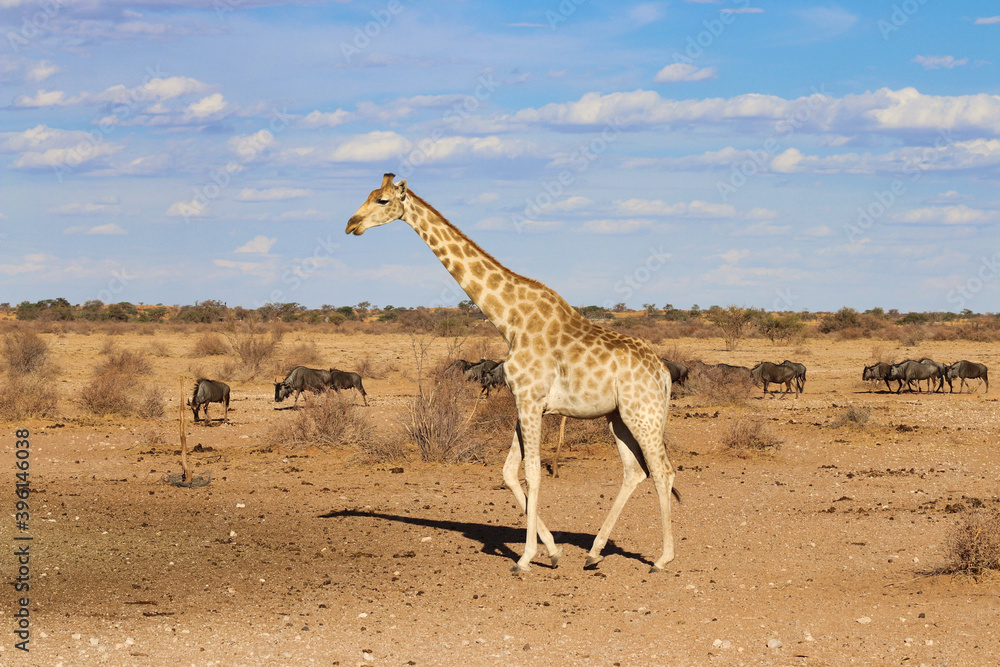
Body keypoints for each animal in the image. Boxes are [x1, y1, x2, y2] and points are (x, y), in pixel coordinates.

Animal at [346, 174, 677, 573]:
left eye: (381, 200)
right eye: (367, 196)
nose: (351, 224)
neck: (511, 321)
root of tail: (664, 373)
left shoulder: (531, 401)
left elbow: (532, 473)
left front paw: (526, 557)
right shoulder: (525, 403)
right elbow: (508, 472)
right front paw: (552, 550)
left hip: (643, 414)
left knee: (662, 471)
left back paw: (662, 558)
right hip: (619, 417)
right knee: (635, 471)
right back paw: (594, 552)